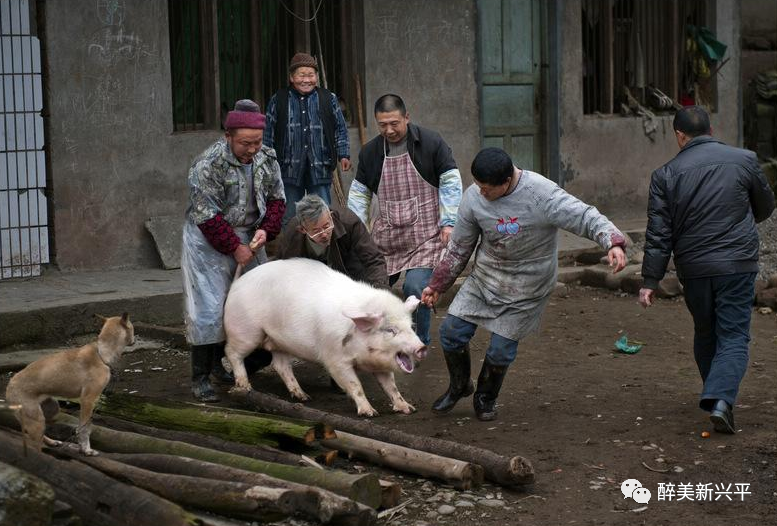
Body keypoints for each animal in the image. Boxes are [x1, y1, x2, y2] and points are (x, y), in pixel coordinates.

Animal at [4, 314, 135, 458]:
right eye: (132, 328)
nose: (134, 340)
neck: (102, 352)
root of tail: (9, 385)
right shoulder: (88, 400)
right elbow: (85, 429)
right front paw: (86, 450)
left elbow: (84, 427)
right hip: (35, 420)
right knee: (35, 444)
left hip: (51, 409)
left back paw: (52, 442)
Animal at [224, 258, 428, 416]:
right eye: (390, 330)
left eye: (411, 326)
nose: (422, 348)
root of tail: (236, 284)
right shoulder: (335, 358)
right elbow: (355, 385)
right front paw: (369, 413)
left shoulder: (380, 366)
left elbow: (391, 386)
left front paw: (408, 409)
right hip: (245, 332)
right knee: (232, 353)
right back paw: (245, 387)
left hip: (279, 341)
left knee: (281, 365)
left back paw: (303, 397)